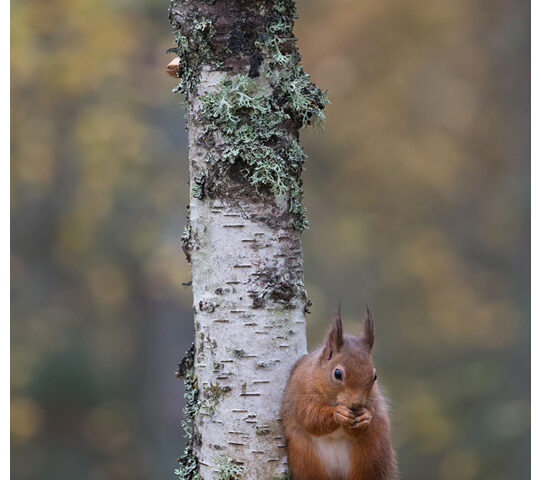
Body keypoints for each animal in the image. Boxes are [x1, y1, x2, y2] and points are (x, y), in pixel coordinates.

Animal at [282, 310, 396, 478]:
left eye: (375, 376)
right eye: (337, 373)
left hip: (370, 456)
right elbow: (309, 418)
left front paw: (366, 417)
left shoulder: (372, 401)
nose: (357, 404)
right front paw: (338, 413)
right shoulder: (300, 392)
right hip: (307, 460)